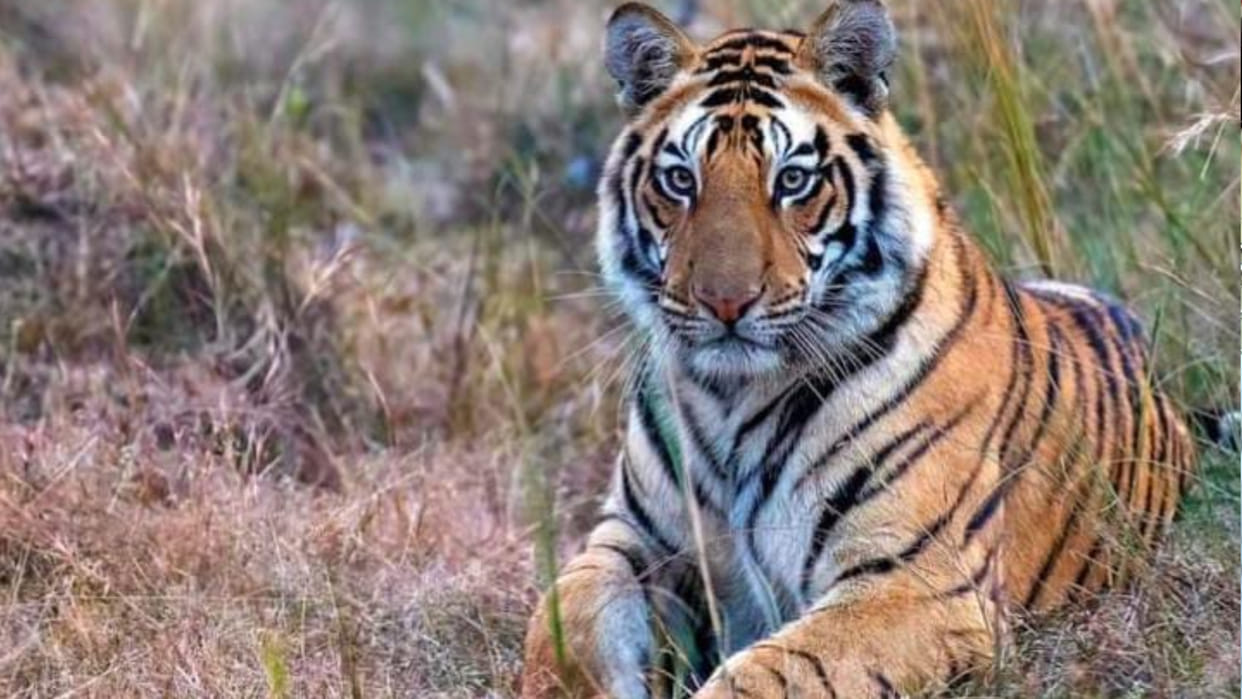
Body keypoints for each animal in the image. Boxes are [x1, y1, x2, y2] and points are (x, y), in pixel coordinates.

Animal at [521, 1, 1200, 697]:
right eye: (681, 180)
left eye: (793, 180)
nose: (725, 303)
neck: (731, 396)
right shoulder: (633, 541)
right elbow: (561, 620)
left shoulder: (915, 580)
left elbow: (768, 675)